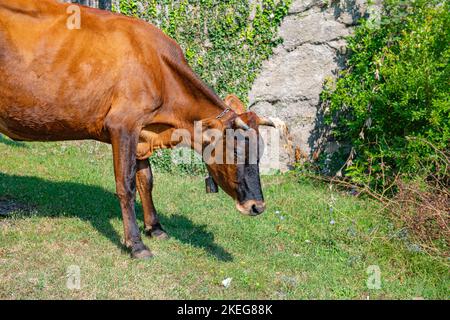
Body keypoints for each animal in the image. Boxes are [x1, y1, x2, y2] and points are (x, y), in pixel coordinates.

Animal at [0, 0, 276, 258]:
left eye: (261, 153)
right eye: (237, 151)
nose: (258, 206)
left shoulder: (143, 132)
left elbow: (146, 180)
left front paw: (155, 228)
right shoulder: (123, 125)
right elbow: (126, 185)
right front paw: (136, 244)